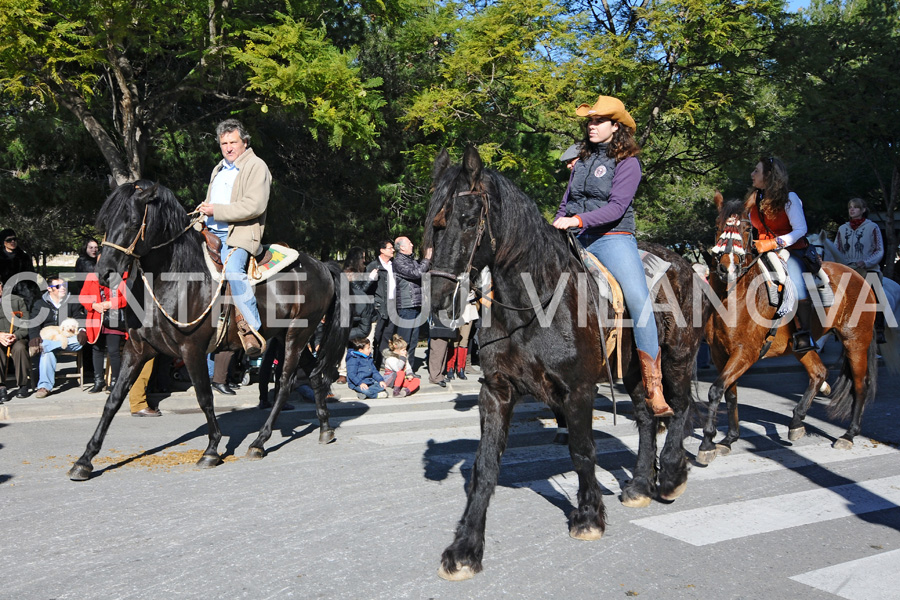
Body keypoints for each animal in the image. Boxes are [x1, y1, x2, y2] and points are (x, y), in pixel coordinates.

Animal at [66, 180, 348, 480]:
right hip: (289, 337)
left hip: (297, 334)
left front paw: (212, 450)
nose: (104, 272)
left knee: (285, 383)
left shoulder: (192, 349)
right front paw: (85, 459)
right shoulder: (137, 349)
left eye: (132, 221)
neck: (174, 278)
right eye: (106, 222)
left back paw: (259, 442)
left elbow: (204, 396)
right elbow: (114, 399)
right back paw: (325, 428)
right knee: (315, 375)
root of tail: (321, 265)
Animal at [424, 146, 712, 580]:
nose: (439, 297)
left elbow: (582, 450)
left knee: (679, 408)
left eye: (468, 220)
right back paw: (640, 484)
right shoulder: (496, 390)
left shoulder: (578, 390)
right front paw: (465, 548)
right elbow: (485, 466)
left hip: (677, 357)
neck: (536, 303)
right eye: (432, 221)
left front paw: (589, 516)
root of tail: (685, 266)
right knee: (647, 415)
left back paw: (671, 476)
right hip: (633, 370)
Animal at [704, 192, 880, 464]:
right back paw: (797, 421)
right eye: (717, 225)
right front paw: (729, 438)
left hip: (856, 342)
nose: (727, 266)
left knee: (860, 385)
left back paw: (849, 434)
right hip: (802, 347)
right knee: (818, 373)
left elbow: (715, 390)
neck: (733, 296)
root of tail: (858, 275)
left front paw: (707, 443)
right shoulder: (720, 353)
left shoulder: (745, 353)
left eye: (747, 228)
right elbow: (729, 393)